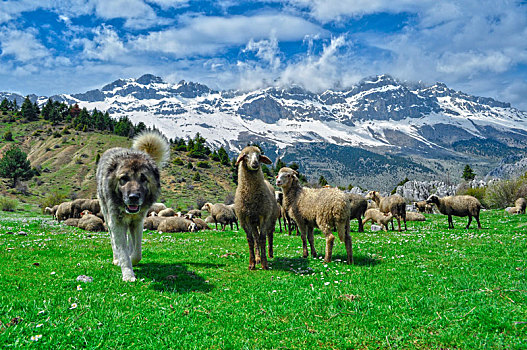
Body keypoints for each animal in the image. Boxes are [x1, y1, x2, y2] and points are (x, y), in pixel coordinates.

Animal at [96, 131, 168, 282]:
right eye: (124, 178)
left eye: (144, 178)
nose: (133, 197)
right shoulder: (116, 223)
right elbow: (122, 252)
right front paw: (128, 275)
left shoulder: (137, 223)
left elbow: (137, 252)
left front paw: (132, 258)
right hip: (108, 217)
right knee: (114, 242)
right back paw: (116, 259)